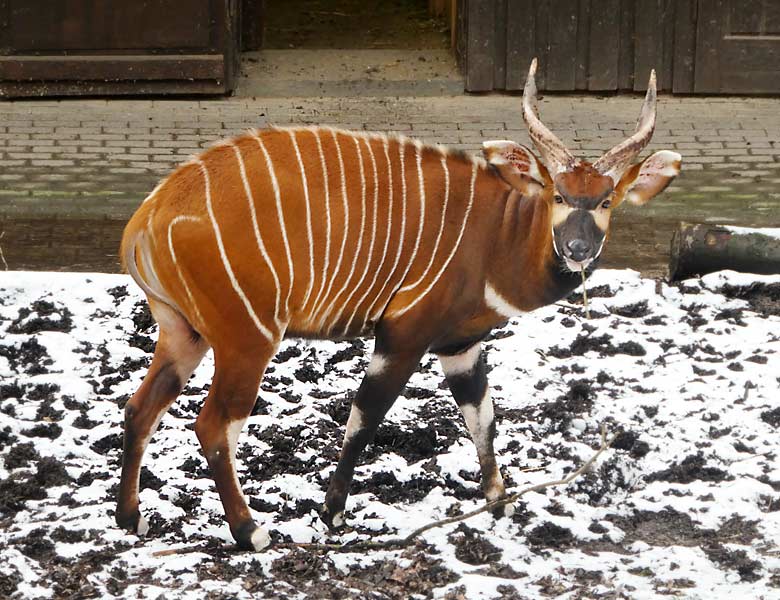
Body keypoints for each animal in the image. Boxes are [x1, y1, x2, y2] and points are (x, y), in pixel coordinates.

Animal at [117, 58, 684, 552]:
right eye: (559, 195)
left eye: (606, 200)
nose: (577, 248)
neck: (497, 234)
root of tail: (147, 218)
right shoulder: (404, 333)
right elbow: (366, 414)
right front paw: (332, 512)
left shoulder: (461, 345)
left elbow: (483, 416)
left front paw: (499, 503)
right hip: (247, 337)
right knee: (213, 425)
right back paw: (251, 532)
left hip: (182, 331)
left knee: (140, 406)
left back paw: (131, 518)